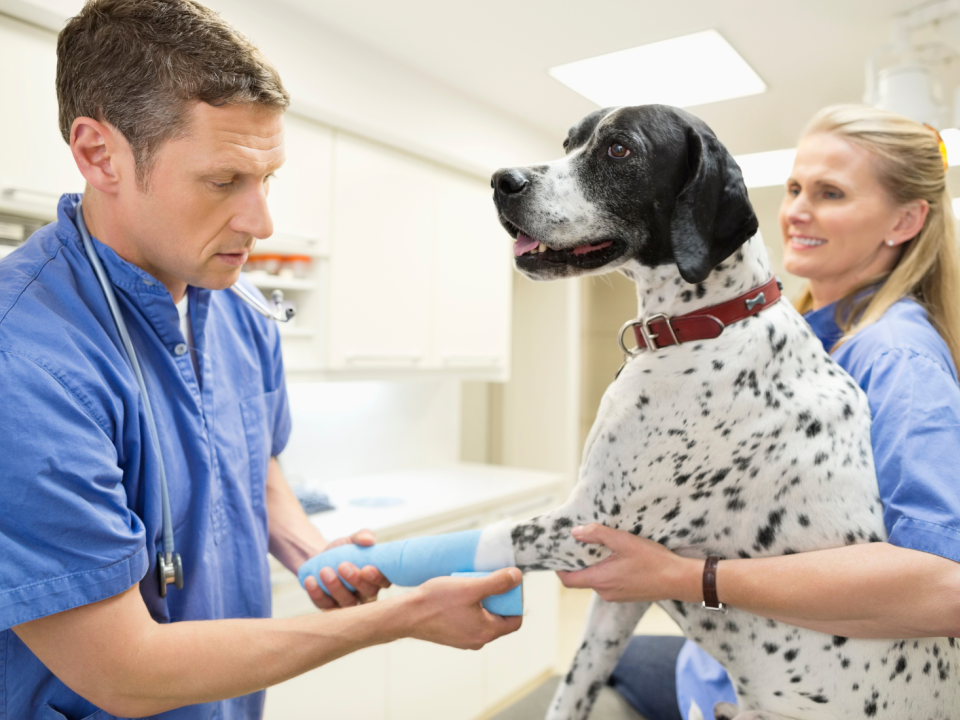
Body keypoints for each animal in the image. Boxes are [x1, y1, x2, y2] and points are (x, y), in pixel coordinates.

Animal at [478, 105, 960, 720]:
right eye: (569, 143)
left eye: (619, 150)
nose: (501, 180)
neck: (708, 321)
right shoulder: (617, 600)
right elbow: (573, 689)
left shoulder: (589, 526)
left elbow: (485, 536)